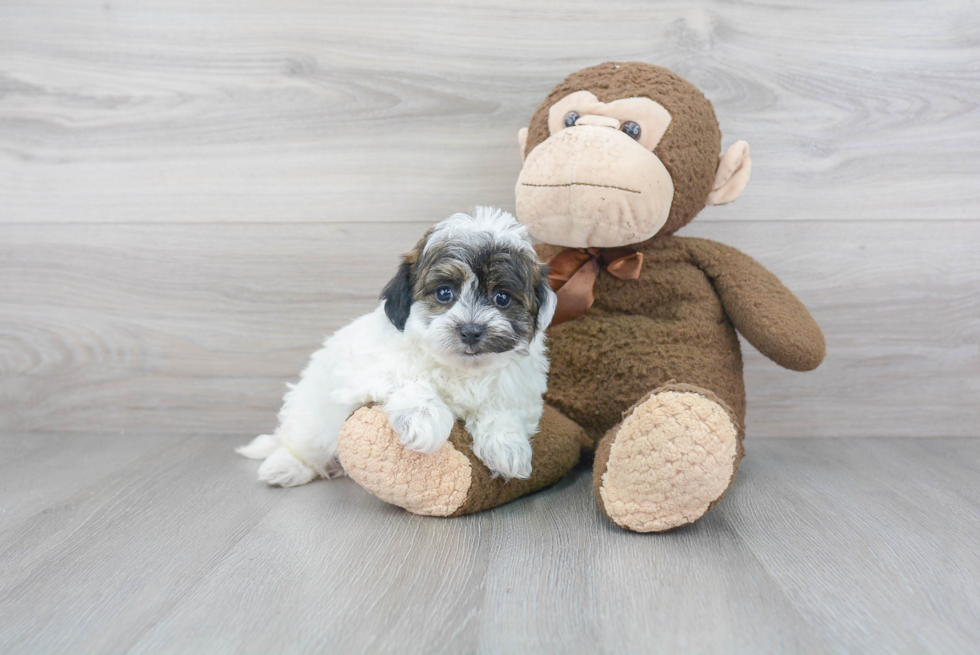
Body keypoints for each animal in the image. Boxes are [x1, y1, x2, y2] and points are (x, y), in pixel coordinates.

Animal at [237, 209, 556, 486]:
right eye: (444, 293)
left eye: (502, 298)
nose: (471, 331)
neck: (460, 369)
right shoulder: (368, 369)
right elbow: (409, 380)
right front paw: (425, 420)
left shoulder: (518, 390)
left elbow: (502, 409)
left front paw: (507, 447)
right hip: (311, 416)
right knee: (301, 442)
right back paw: (286, 466)